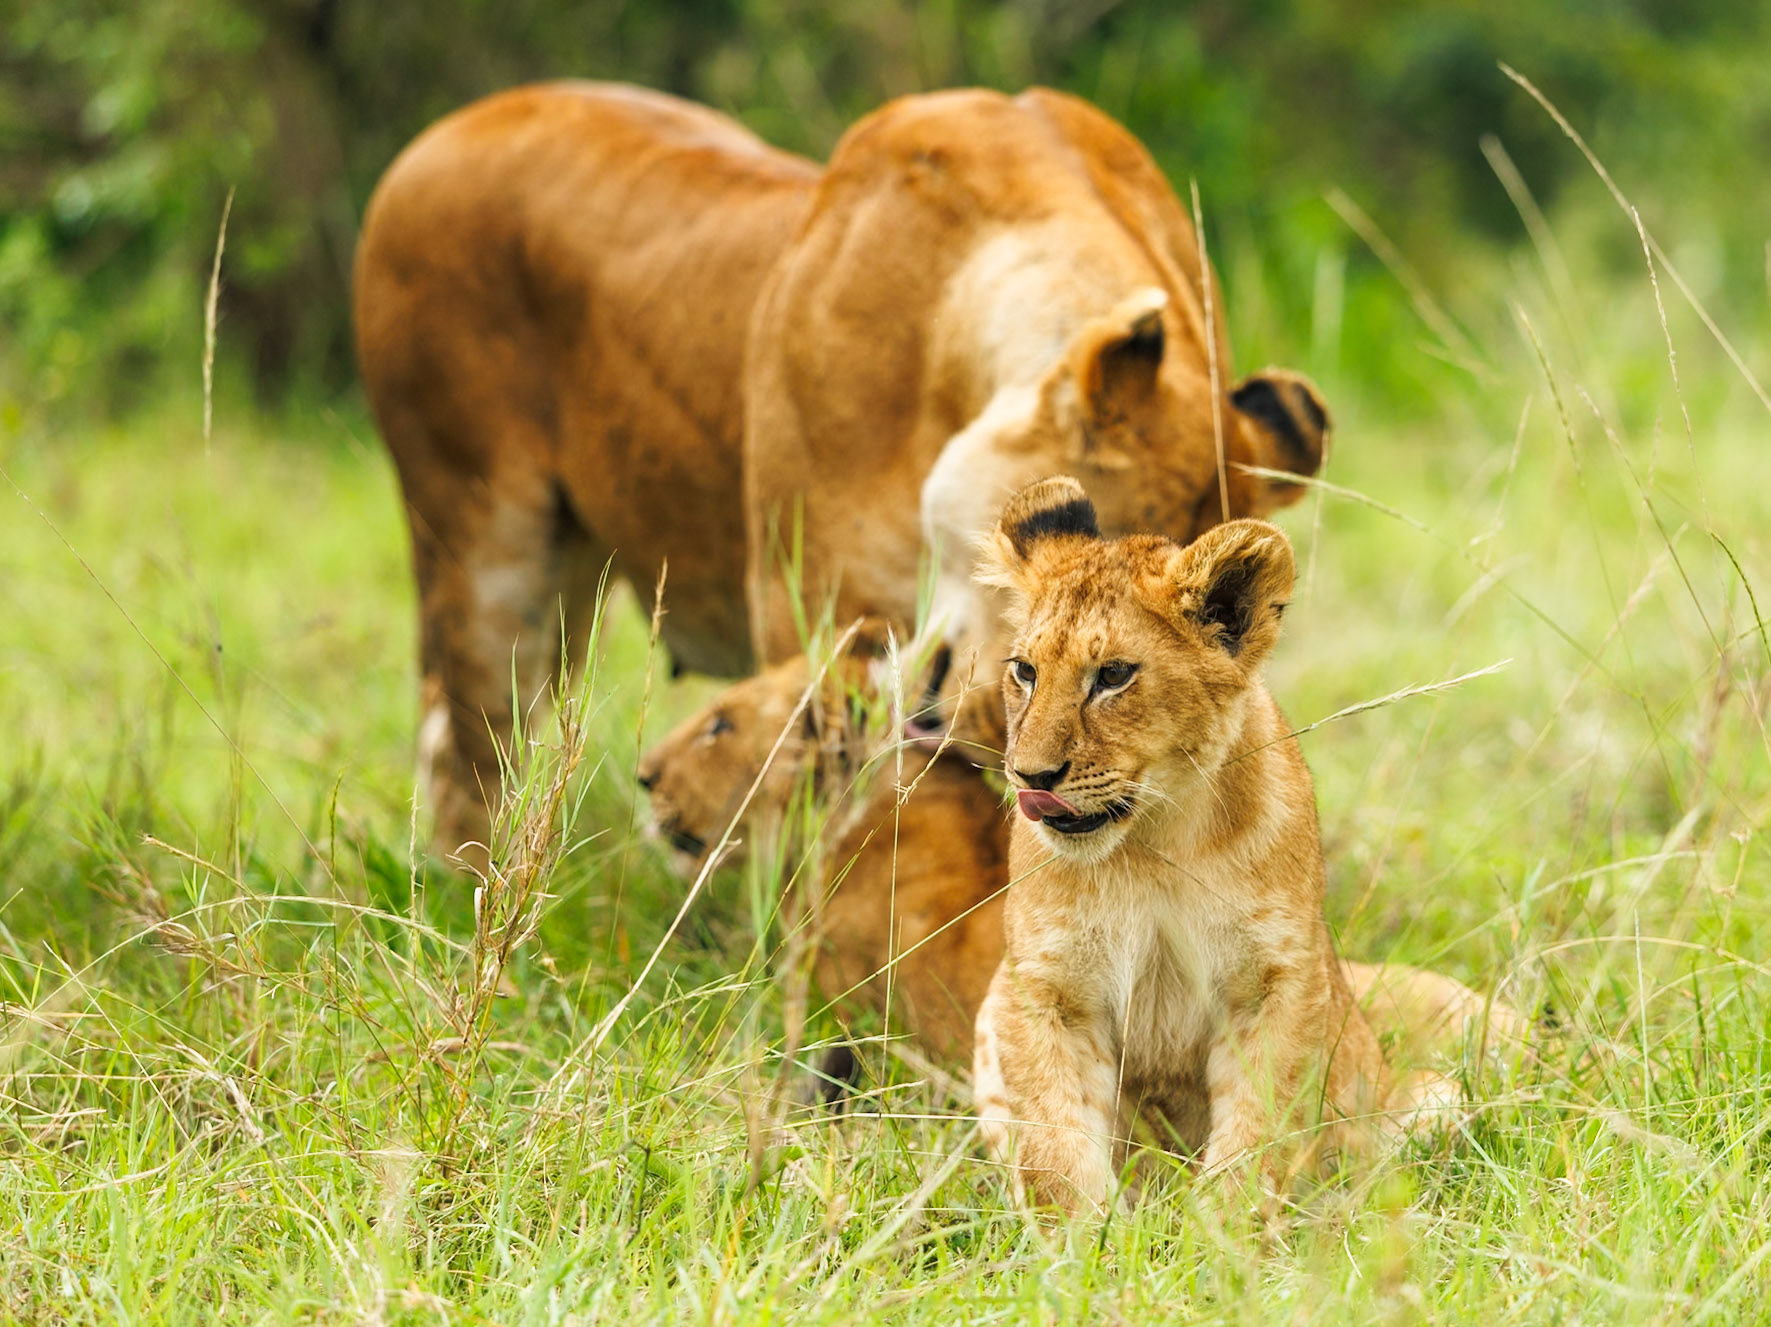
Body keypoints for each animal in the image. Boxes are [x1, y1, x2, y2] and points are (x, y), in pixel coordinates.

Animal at [969, 476, 1474, 1215]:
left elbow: (1259, 1129)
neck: (1152, 842)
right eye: (1026, 671)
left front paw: (1223, 1233)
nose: (1031, 777)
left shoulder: (1277, 981)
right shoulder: (1044, 988)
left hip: (1440, 1088)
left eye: (1113, 675)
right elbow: (1054, 1148)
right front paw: (1085, 1241)